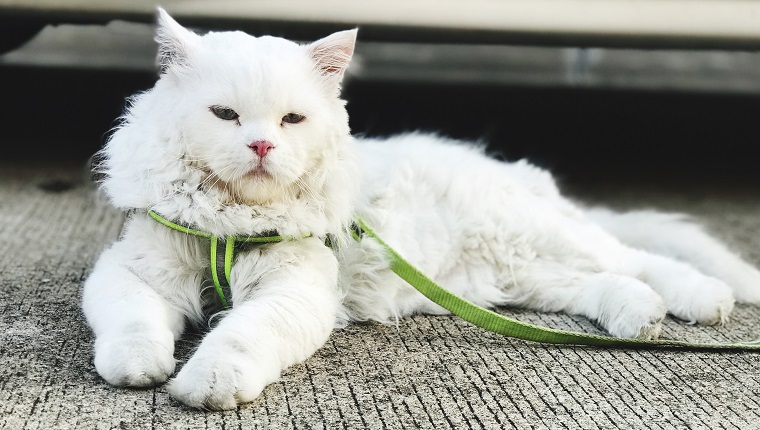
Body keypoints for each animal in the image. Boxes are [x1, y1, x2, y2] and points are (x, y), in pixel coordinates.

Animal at [81, 8, 760, 408]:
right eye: (225, 114)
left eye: (291, 119)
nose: (261, 145)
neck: (230, 225)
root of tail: (516, 173)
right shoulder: (134, 271)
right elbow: (134, 324)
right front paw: (140, 368)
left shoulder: (292, 291)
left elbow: (239, 338)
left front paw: (205, 386)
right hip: (520, 276)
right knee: (604, 284)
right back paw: (639, 319)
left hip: (539, 237)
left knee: (641, 259)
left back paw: (705, 300)